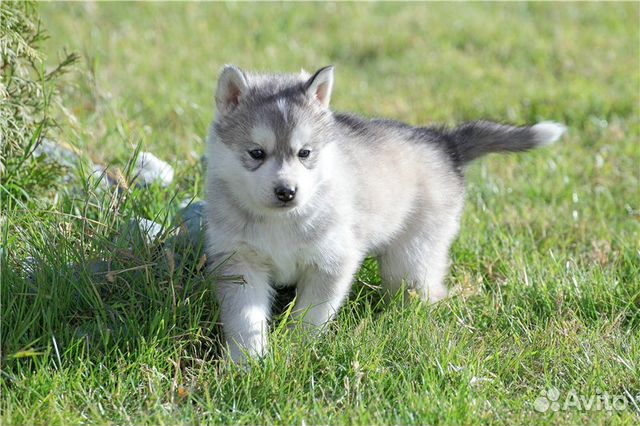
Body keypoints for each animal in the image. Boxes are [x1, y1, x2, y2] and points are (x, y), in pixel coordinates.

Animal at [206, 64, 564, 362]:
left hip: (410, 258)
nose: (286, 192)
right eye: (256, 153)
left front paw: (298, 349)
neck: (279, 220)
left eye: (305, 153)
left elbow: (311, 315)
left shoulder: (332, 262)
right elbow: (246, 319)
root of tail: (443, 141)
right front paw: (248, 363)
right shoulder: (240, 263)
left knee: (424, 291)